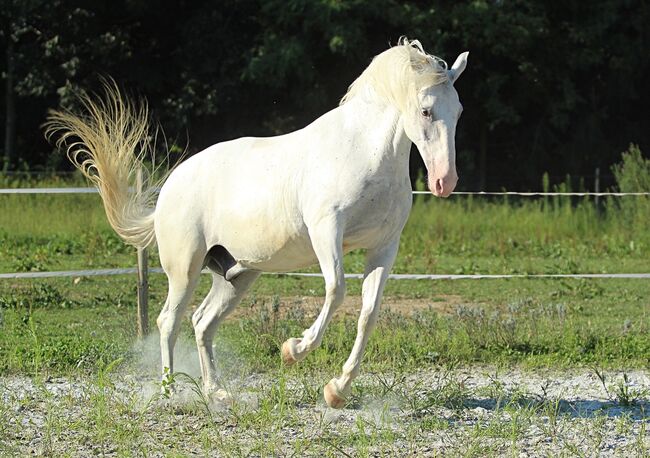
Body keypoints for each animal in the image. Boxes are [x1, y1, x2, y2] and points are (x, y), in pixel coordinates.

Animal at [48, 37, 468, 406]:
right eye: (426, 110)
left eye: (459, 111)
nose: (444, 182)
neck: (362, 151)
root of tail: (170, 186)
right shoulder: (326, 232)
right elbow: (336, 292)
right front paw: (293, 350)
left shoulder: (383, 246)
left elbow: (368, 314)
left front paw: (337, 391)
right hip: (184, 269)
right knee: (169, 320)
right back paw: (169, 392)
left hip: (236, 275)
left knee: (201, 322)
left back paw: (217, 393)